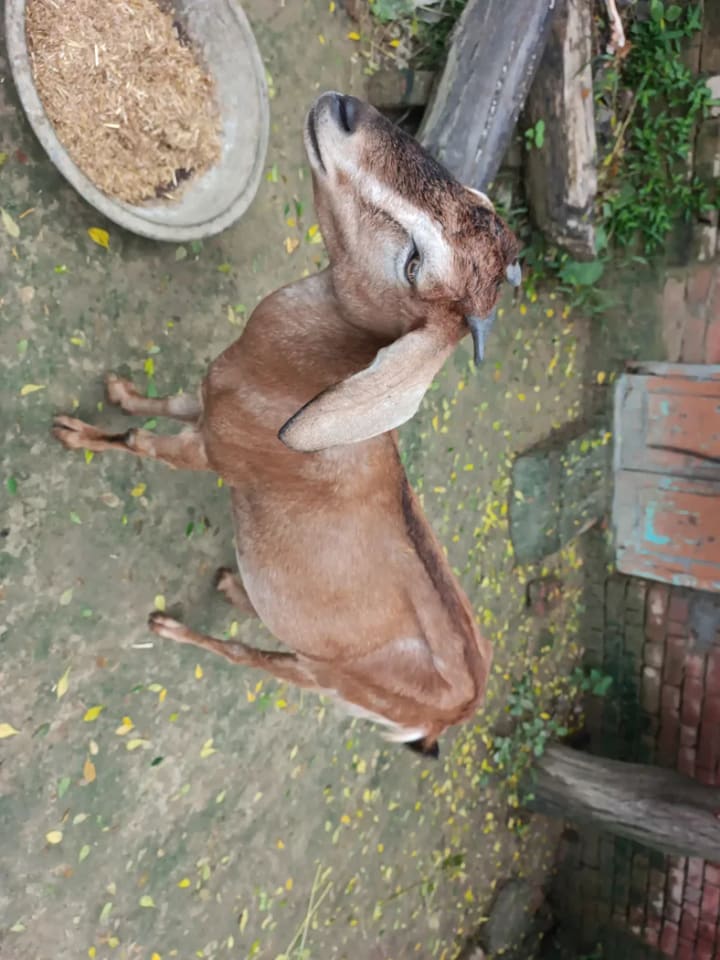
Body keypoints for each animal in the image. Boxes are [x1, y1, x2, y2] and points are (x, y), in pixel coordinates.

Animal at [53, 92, 520, 755]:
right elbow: (165, 403)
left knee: (252, 658)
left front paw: (73, 433)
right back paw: (232, 586)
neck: (296, 375)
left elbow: (140, 441)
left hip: (320, 676)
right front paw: (119, 391)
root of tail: (450, 716)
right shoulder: (208, 405)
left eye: (413, 263)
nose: (346, 109)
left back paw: (171, 625)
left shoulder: (209, 453)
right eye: (476, 200)